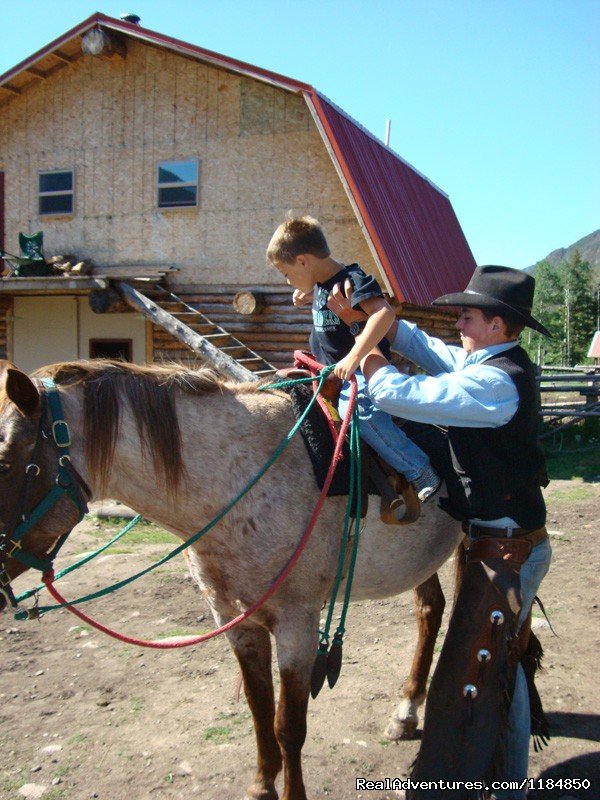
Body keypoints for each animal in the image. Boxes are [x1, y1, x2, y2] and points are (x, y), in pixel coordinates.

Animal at [0, 360, 496, 800]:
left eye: (7, 461)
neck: (239, 480)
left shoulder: (297, 625)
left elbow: (288, 725)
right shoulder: (235, 621)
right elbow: (260, 711)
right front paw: (261, 785)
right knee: (429, 610)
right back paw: (406, 712)